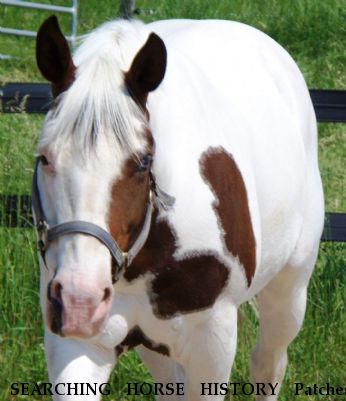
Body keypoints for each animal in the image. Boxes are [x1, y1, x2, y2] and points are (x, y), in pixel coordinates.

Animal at [32, 14, 324, 398]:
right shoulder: (79, 345)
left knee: (268, 363)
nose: (81, 300)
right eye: (44, 157)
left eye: (143, 162)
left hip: (289, 292)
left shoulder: (211, 346)